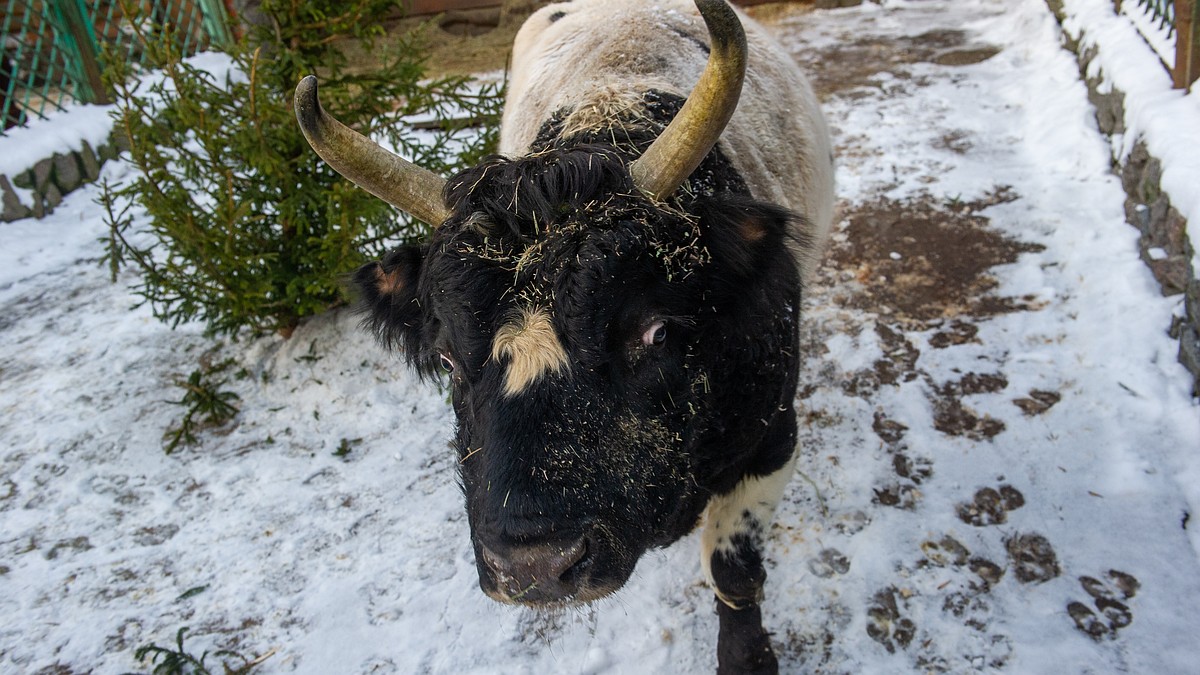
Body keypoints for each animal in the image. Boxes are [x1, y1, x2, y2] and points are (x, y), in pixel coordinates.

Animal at [294, 2, 835, 667]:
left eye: (656, 332)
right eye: (446, 359)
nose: (534, 567)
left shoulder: (772, 440)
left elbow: (734, 572)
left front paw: (746, 657)